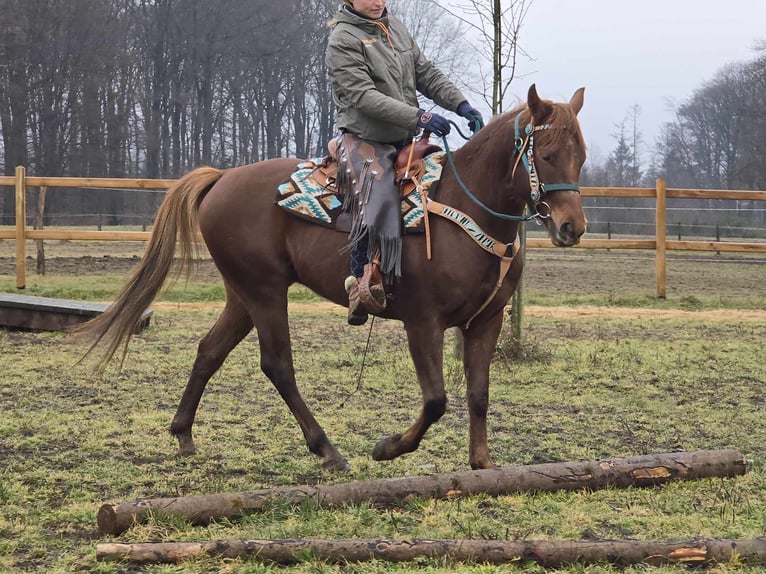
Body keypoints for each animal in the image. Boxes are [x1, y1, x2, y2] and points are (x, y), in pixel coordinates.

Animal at [79, 85, 588, 472]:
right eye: (545, 155)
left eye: (580, 156)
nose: (572, 228)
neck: (463, 209)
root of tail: (222, 178)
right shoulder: (423, 322)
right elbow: (436, 400)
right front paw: (387, 448)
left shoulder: (486, 321)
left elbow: (478, 394)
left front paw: (482, 464)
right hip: (265, 292)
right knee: (278, 365)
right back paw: (327, 450)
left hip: (242, 294)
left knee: (209, 350)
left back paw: (184, 435)